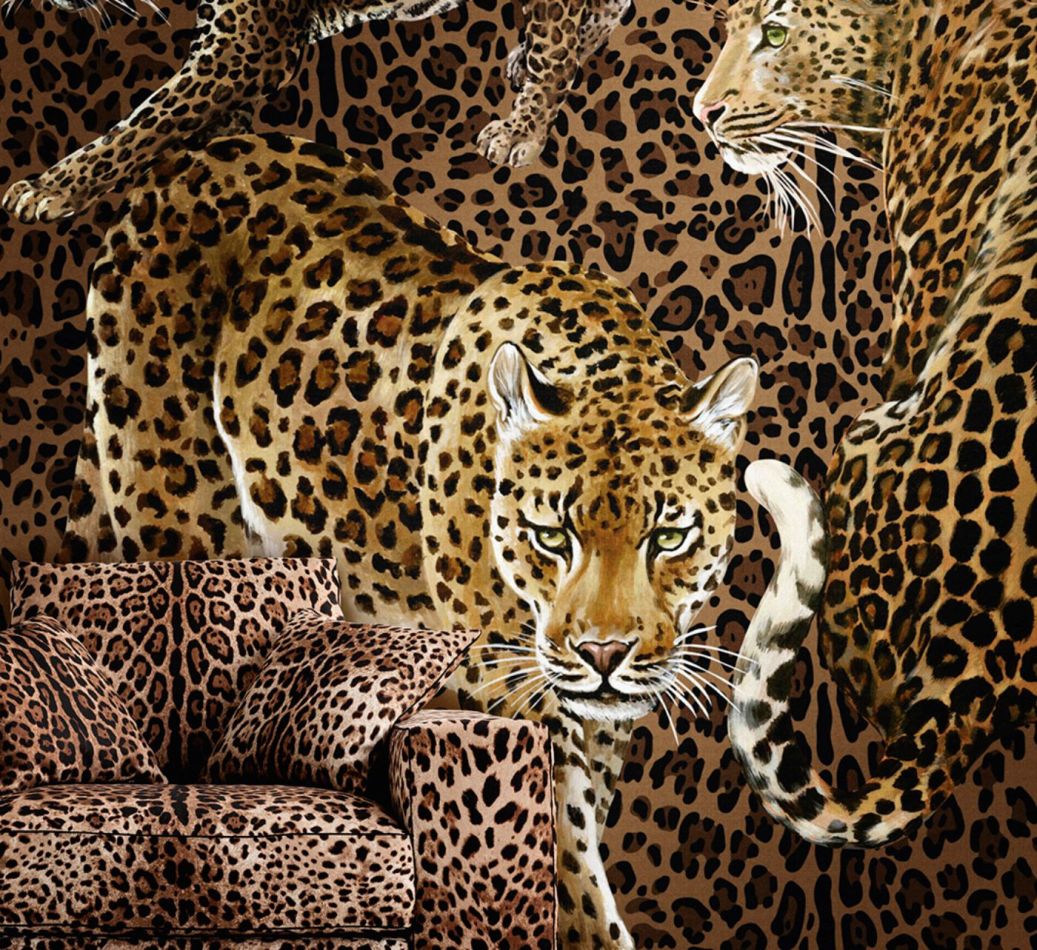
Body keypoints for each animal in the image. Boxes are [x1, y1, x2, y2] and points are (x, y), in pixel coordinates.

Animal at [58, 130, 760, 948]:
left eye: (670, 535)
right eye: (551, 536)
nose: (604, 653)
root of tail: (199, 155)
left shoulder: (590, 732)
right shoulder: (519, 719)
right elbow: (568, 888)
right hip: (176, 517)